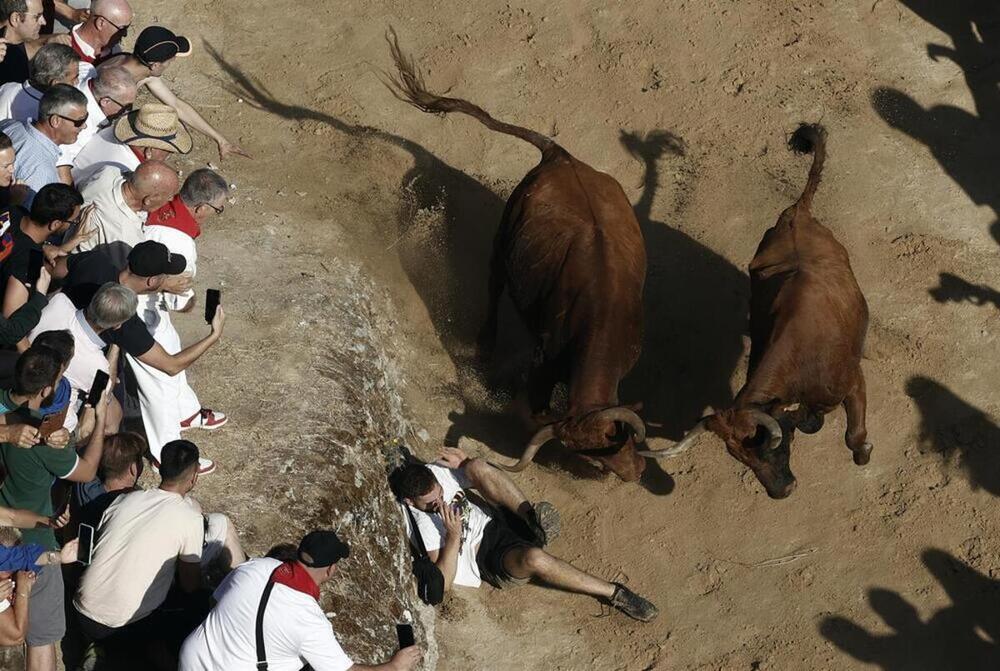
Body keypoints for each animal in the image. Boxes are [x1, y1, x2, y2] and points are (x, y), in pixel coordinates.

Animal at [382, 32, 648, 484]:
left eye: (620, 438)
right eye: (595, 457)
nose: (635, 473)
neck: (601, 319)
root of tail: (559, 154)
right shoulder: (544, 362)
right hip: (503, 241)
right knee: (494, 286)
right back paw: (485, 345)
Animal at [644, 124, 872, 498]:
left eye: (768, 447)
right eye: (740, 458)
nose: (781, 492)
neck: (800, 366)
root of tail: (796, 213)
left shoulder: (853, 382)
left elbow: (854, 438)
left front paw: (863, 452)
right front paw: (811, 422)